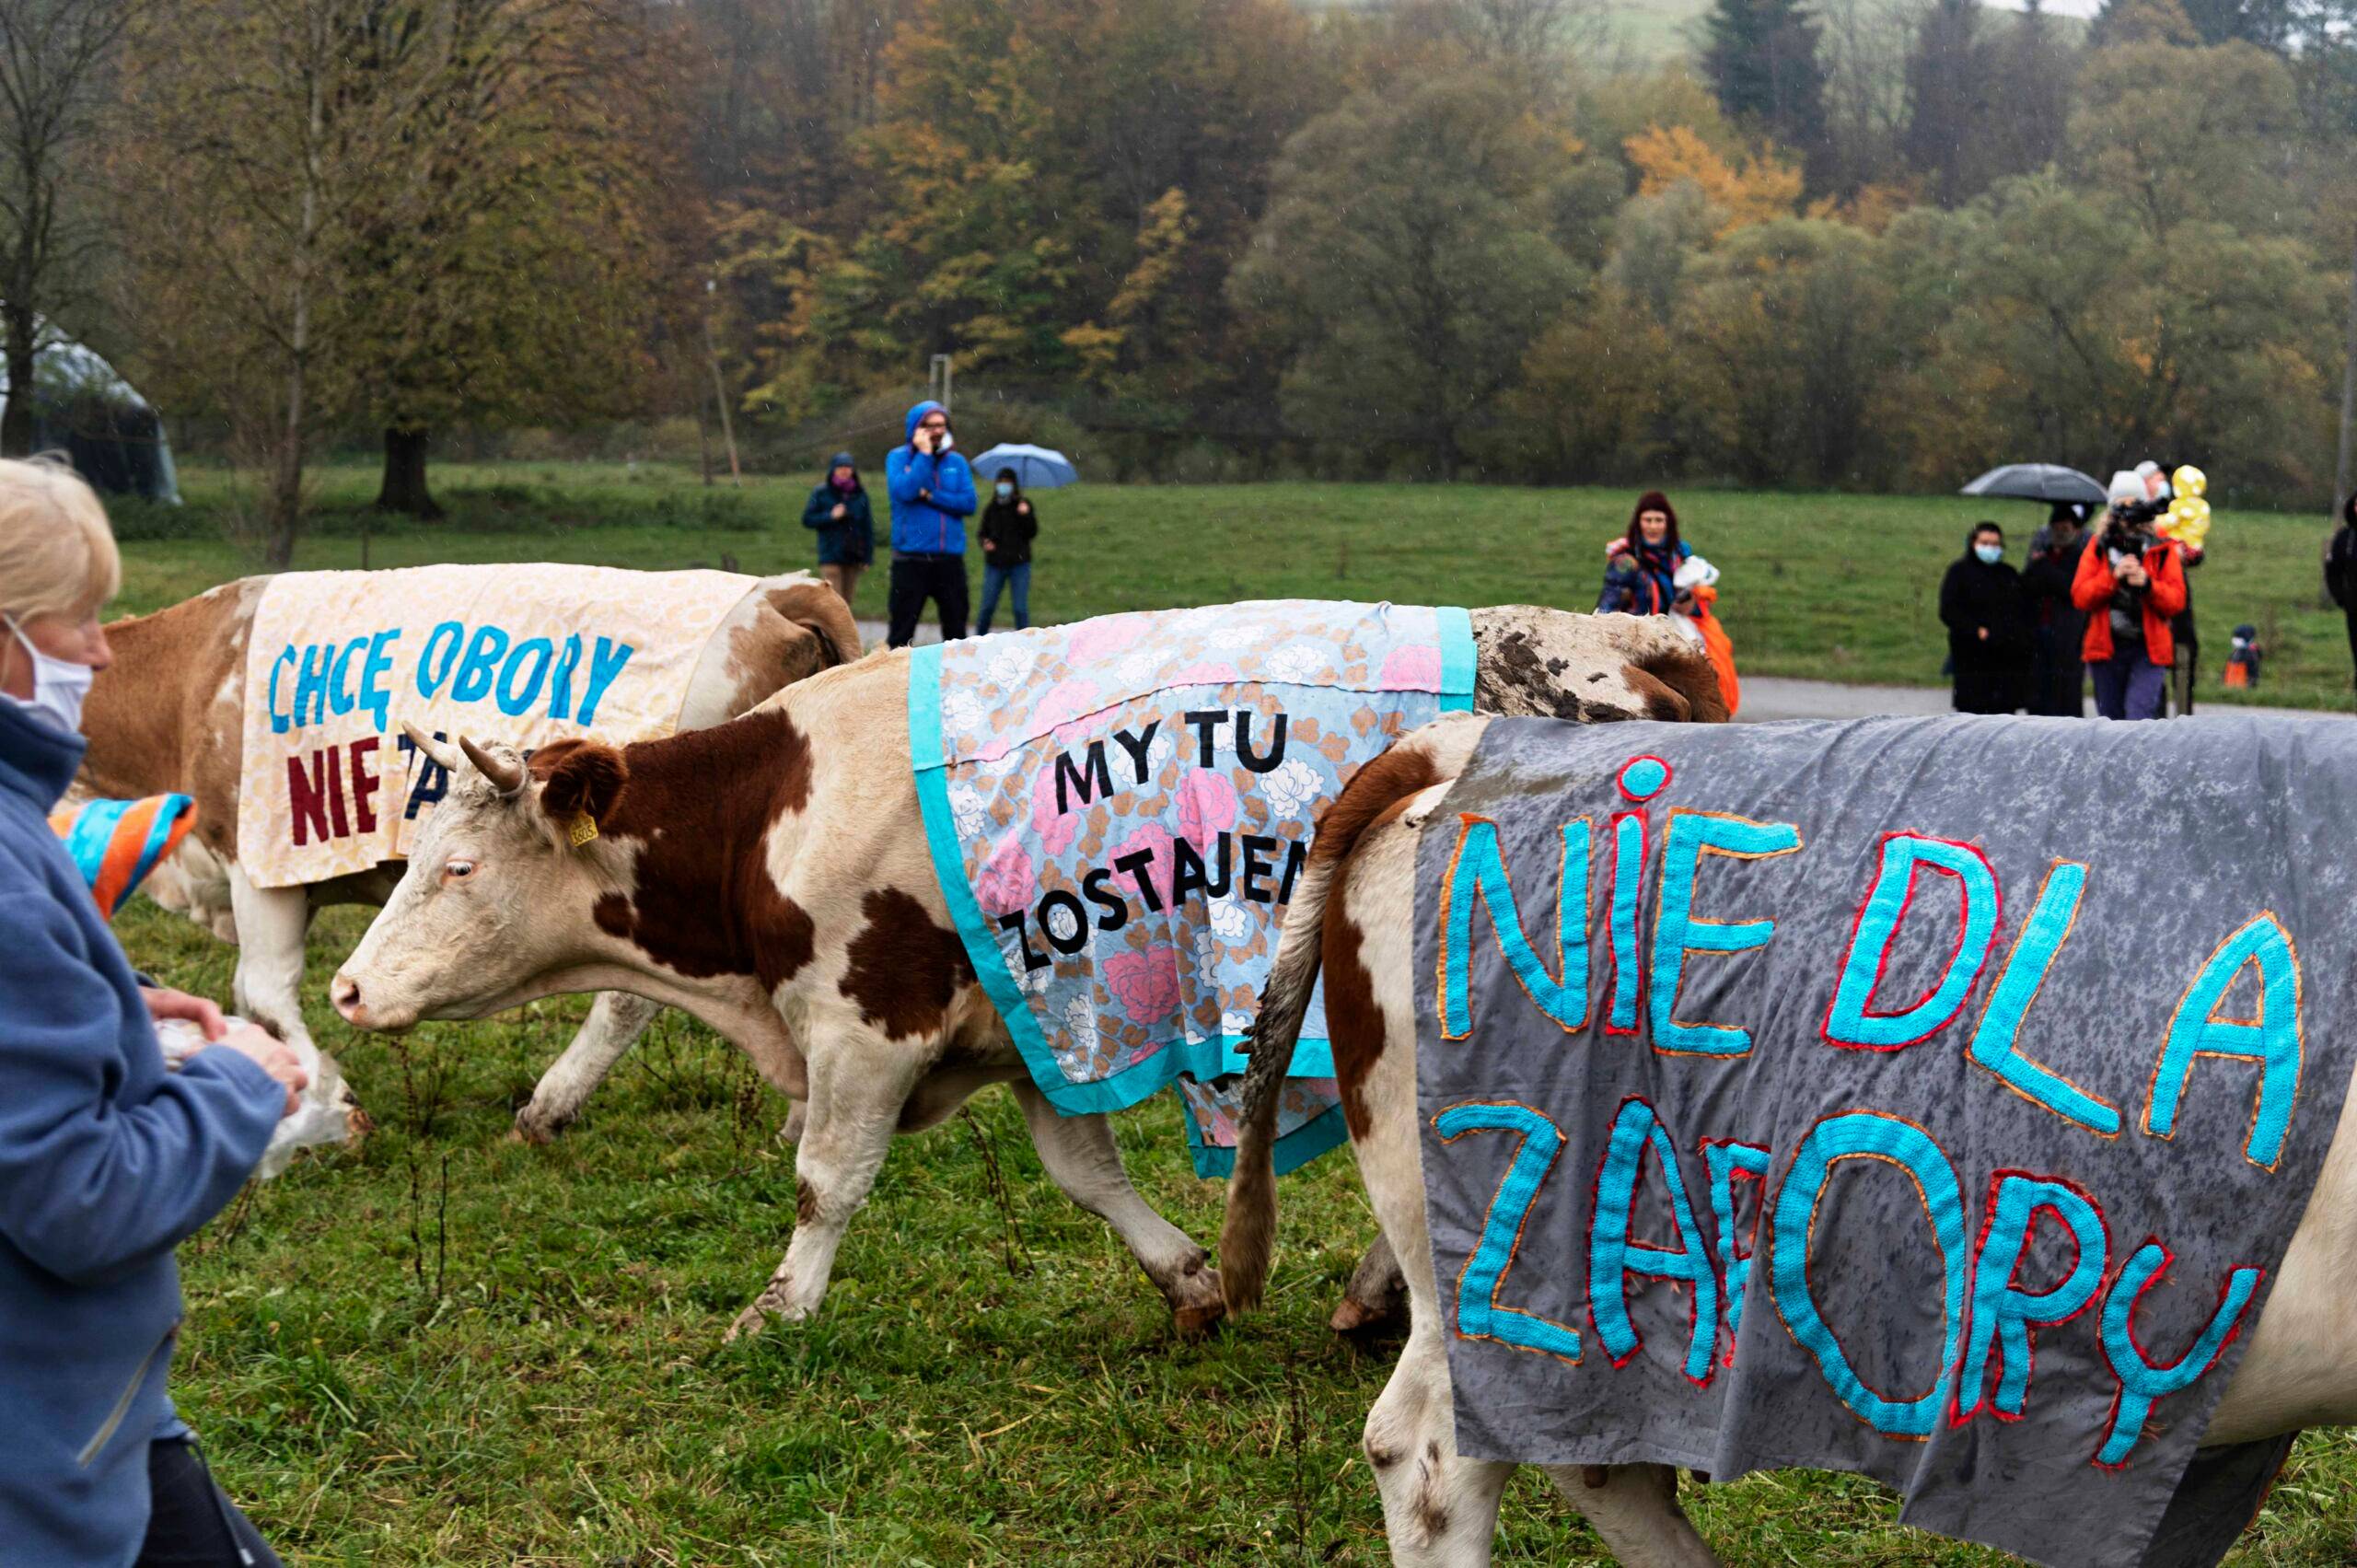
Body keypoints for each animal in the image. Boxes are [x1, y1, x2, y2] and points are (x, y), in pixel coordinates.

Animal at [78, 568, 862, 1132]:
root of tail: (784, 590)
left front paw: (337, 1104)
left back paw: (549, 1105)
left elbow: (266, 992)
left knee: (625, 1000)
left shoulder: (258, 860)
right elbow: (253, 994)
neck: (197, 669)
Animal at [327, 608, 1735, 1330]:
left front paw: (778, 1310)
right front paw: (1190, 1279)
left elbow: (824, 1181)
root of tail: (1617, 640)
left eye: (457, 866)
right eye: (421, 854)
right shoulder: (1040, 1021)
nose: (345, 989)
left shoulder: (867, 1023)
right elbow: (1086, 1174)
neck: (777, 805)